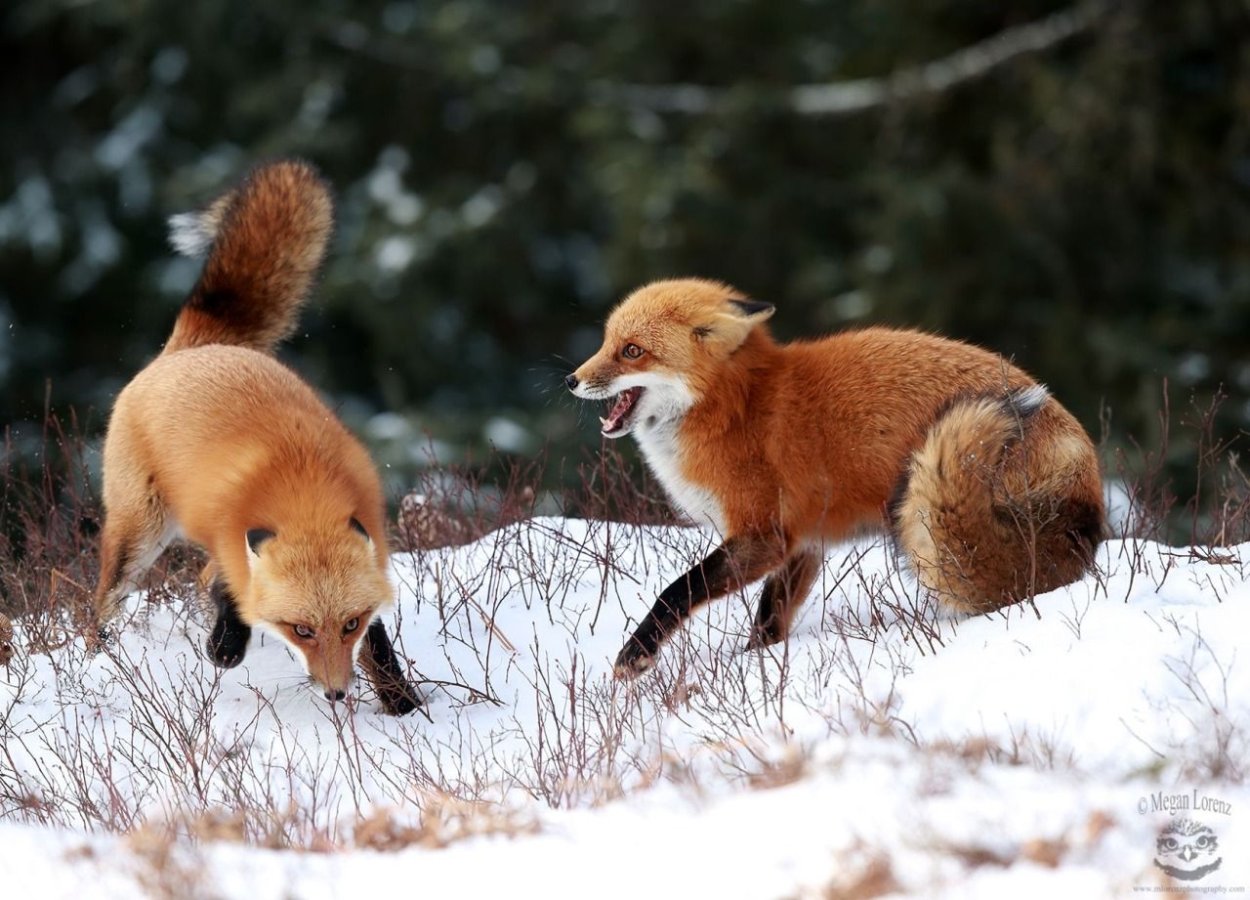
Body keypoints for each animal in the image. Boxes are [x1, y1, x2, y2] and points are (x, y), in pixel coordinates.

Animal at [92, 160, 421, 715]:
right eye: (302, 629)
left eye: (348, 624)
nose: (336, 692)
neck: (304, 490)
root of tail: (199, 345)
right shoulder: (230, 539)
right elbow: (230, 596)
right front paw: (224, 647)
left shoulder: (371, 549)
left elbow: (378, 644)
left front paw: (402, 704)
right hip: (141, 532)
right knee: (105, 602)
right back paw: (99, 654)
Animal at [567, 278, 1106, 678]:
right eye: (607, 343)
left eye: (632, 351)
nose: (571, 380)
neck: (733, 405)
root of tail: (1092, 510)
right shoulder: (803, 542)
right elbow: (769, 619)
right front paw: (758, 667)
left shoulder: (762, 535)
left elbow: (678, 589)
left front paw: (636, 656)